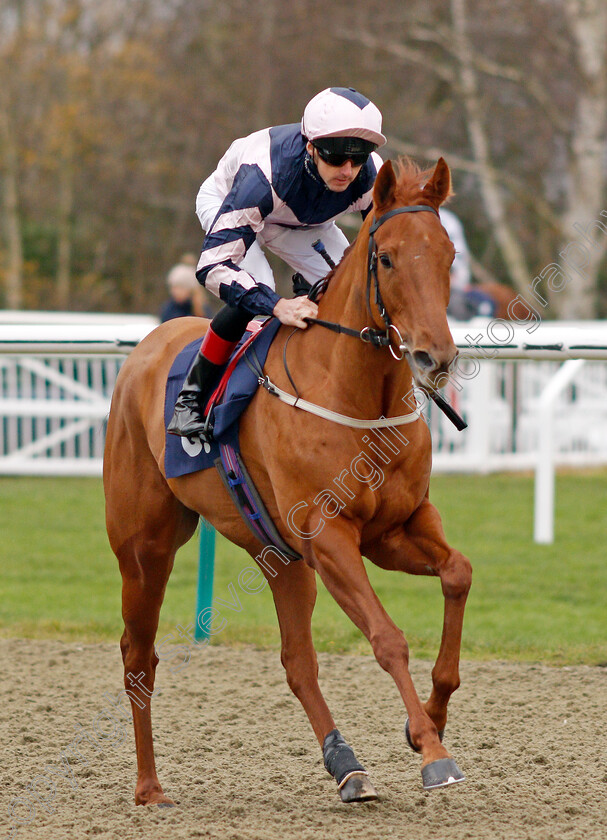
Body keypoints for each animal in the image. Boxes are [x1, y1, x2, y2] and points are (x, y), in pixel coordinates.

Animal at [104, 158, 476, 808]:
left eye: (449, 255)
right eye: (386, 259)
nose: (436, 357)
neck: (356, 391)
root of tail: (147, 345)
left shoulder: (396, 528)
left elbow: (458, 573)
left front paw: (427, 720)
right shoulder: (330, 536)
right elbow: (387, 637)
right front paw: (434, 753)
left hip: (278, 555)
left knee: (297, 662)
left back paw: (347, 766)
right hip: (145, 548)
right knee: (139, 657)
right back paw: (150, 787)